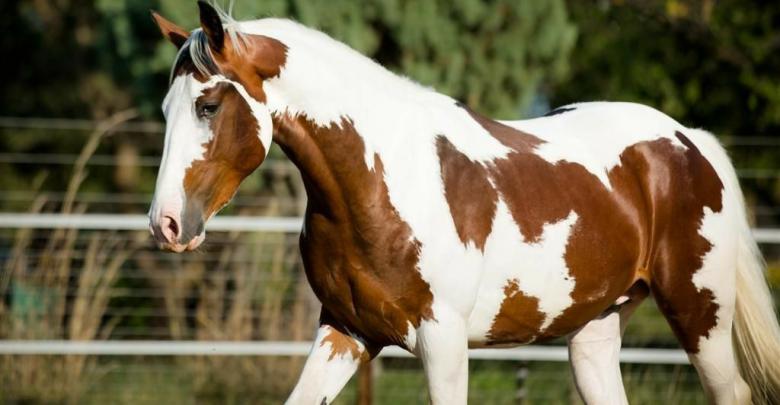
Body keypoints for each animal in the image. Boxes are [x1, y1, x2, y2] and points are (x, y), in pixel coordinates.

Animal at [148, 3, 780, 404]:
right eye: (165, 108)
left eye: (208, 105)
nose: (166, 224)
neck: (380, 182)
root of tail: (688, 140)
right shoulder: (344, 332)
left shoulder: (444, 341)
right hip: (595, 332)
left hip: (700, 314)